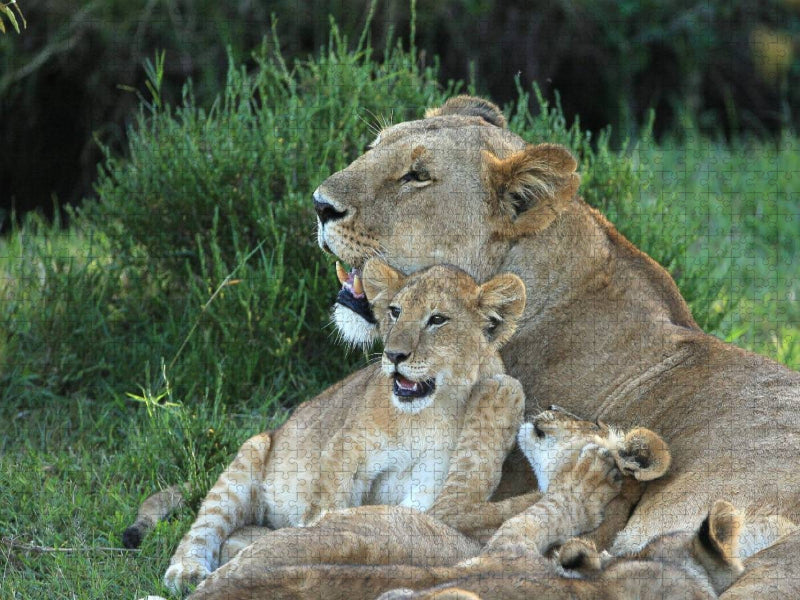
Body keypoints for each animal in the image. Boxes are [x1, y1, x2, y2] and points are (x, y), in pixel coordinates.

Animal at [160, 260, 530, 592]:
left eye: (437, 320)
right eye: (395, 312)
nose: (394, 355)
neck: (426, 415)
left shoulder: (430, 478)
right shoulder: (345, 450)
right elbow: (330, 503)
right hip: (249, 459)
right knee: (205, 524)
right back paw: (186, 571)